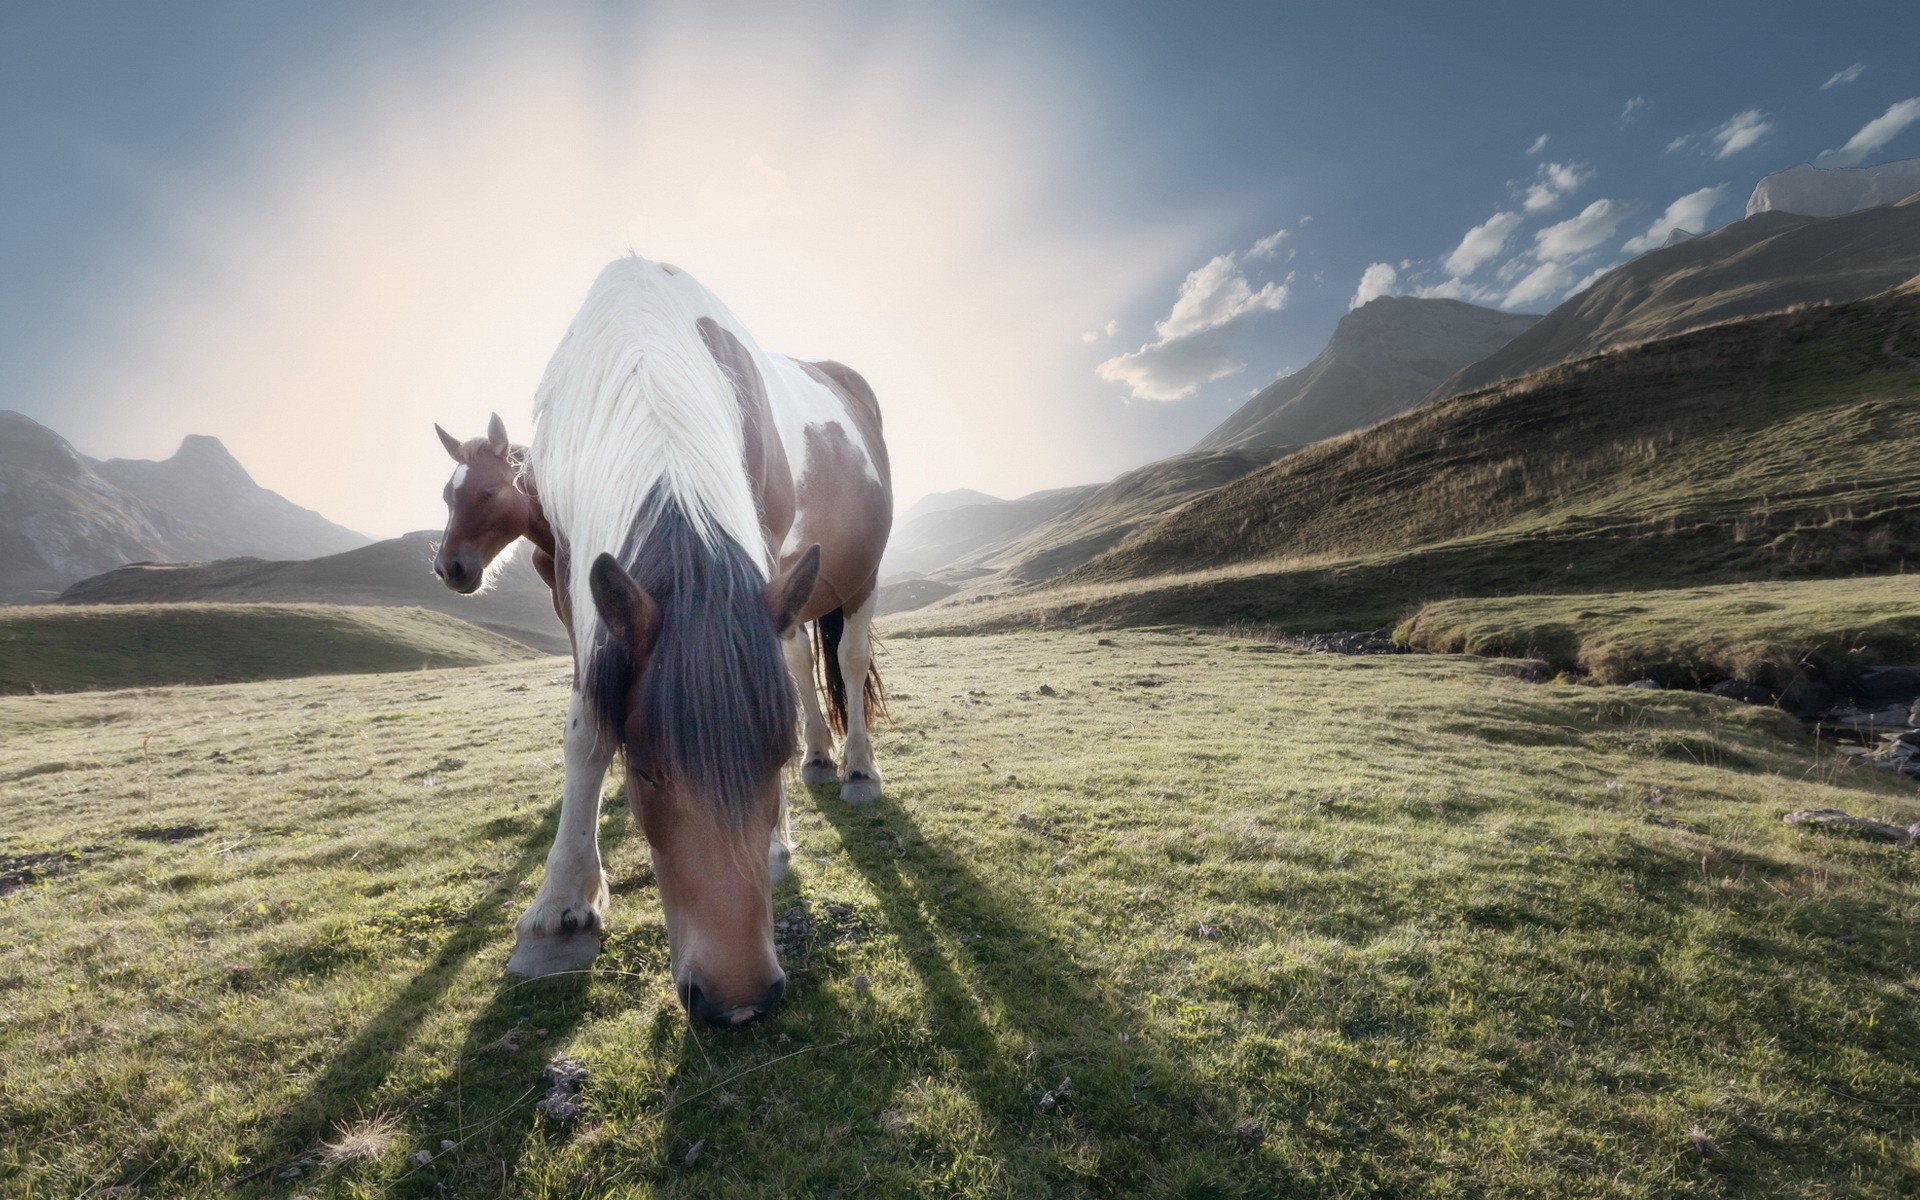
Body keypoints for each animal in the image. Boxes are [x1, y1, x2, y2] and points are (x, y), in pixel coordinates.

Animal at [432, 255, 887, 1021]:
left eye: (488, 493)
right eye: (642, 771)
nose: (737, 999)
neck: (643, 361)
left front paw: (776, 841)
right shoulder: (577, 589)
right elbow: (587, 726)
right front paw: (562, 907)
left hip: (859, 578)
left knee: (848, 662)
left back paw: (855, 768)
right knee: (800, 660)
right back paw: (823, 759)